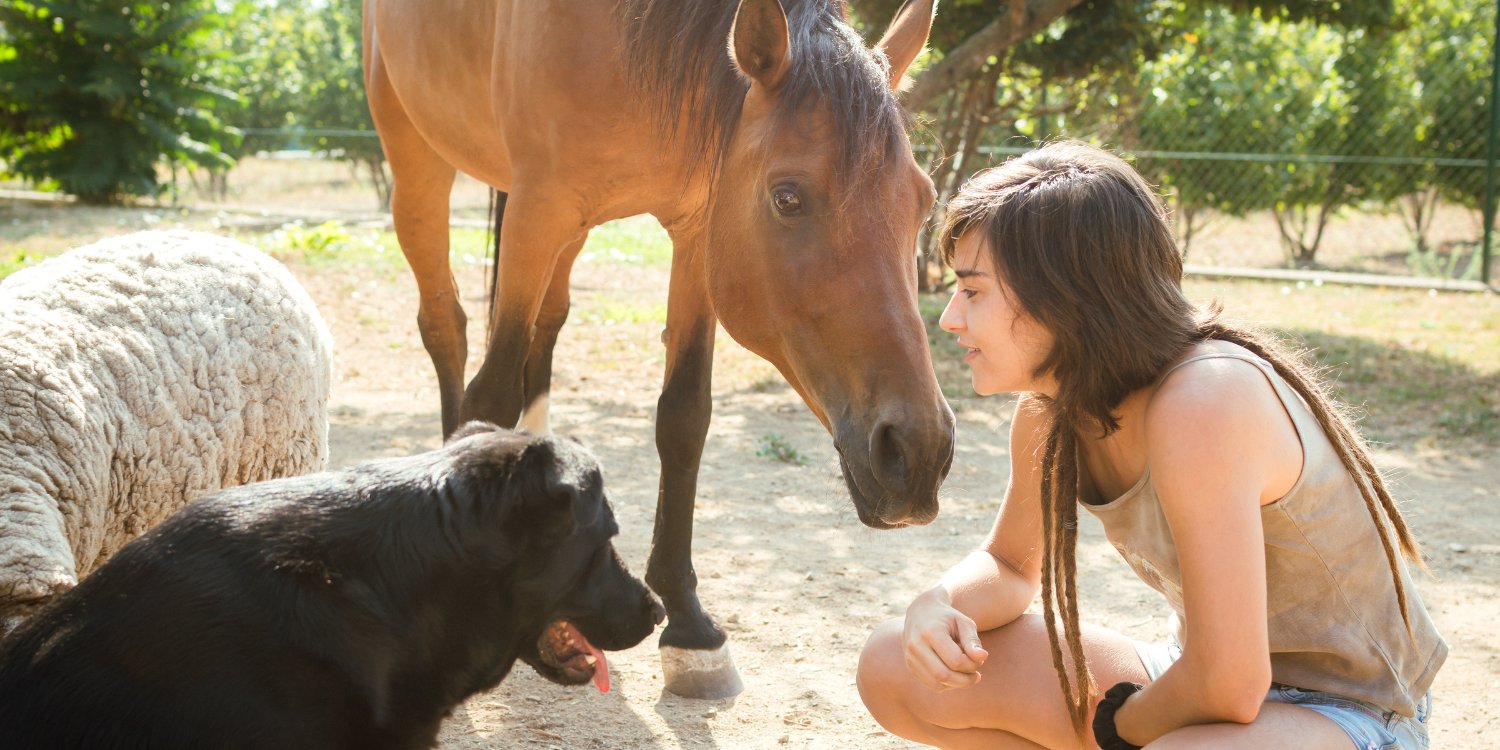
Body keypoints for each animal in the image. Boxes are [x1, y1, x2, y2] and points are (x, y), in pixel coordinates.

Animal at [363, 0, 948, 696]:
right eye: (788, 197)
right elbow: (492, 393)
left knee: (547, 327)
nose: (920, 452)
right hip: (420, 164)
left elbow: (684, 416)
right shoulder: (539, 209)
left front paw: (690, 626)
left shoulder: (698, 225)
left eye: (925, 201)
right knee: (445, 325)